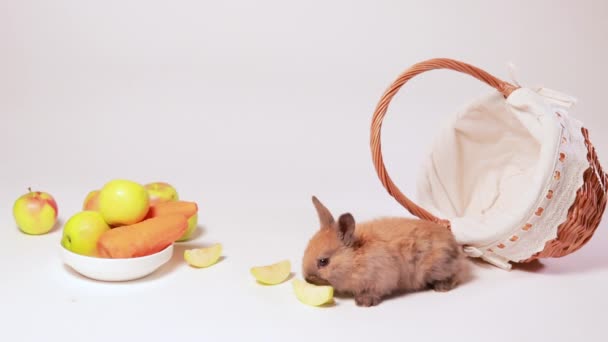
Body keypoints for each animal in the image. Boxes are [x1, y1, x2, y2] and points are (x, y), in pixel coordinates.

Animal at [302, 196, 468, 306]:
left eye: (323, 261)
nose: (307, 279)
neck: (356, 258)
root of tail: (455, 245)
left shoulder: (381, 278)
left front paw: (363, 301)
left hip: (439, 266)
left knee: (456, 275)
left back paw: (441, 287)